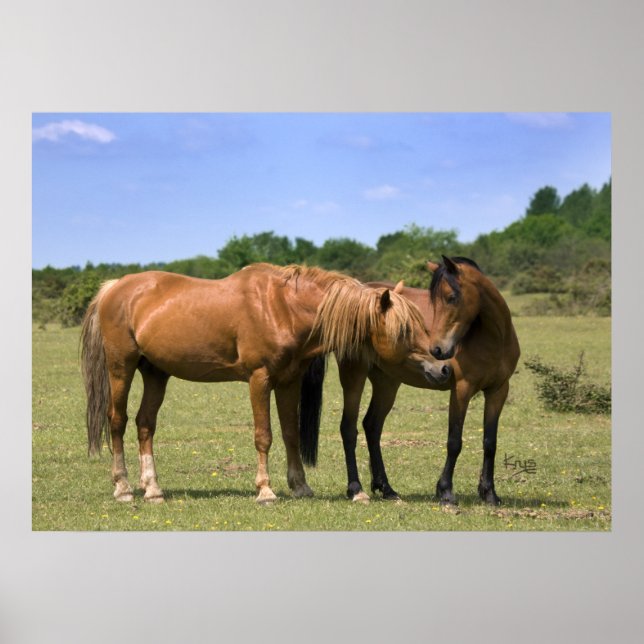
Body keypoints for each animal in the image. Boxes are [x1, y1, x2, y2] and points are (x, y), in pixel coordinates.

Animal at [80, 263, 452, 504]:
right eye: (405, 330)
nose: (443, 366)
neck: (282, 307)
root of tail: (114, 287)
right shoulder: (259, 379)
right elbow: (264, 436)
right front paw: (265, 490)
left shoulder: (288, 382)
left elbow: (289, 433)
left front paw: (300, 486)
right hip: (121, 368)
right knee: (117, 421)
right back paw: (123, 488)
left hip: (156, 373)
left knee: (145, 425)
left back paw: (153, 489)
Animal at [300, 256, 520, 505]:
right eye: (435, 301)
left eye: (451, 297)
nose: (438, 350)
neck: (493, 338)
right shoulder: (462, 390)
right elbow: (454, 441)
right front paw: (445, 492)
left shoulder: (498, 391)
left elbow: (490, 442)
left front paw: (489, 493)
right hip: (354, 374)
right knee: (349, 428)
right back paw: (356, 489)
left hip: (387, 382)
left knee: (372, 426)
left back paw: (386, 488)